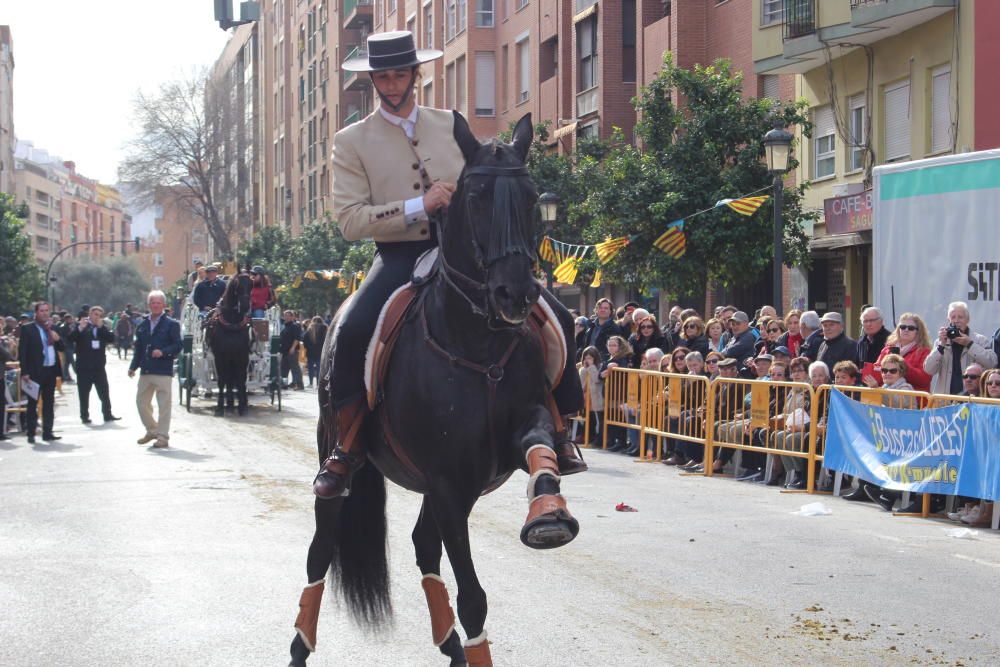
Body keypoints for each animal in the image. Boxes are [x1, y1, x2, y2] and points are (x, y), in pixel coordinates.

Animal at [206, 272, 252, 418]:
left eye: (252, 284)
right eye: (237, 284)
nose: (245, 306)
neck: (232, 323)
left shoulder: (242, 356)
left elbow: (241, 380)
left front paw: (242, 406)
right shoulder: (220, 357)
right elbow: (222, 380)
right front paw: (220, 407)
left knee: (235, 379)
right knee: (228, 380)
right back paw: (229, 403)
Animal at [288, 112, 580, 664]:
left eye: (532, 197)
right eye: (475, 197)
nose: (515, 293)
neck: (478, 347)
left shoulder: (495, 450)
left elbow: (539, 445)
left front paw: (548, 510)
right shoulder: (447, 483)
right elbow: (473, 600)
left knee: (424, 546)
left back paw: (450, 645)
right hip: (341, 466)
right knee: (318, 553)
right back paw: (300, 644)